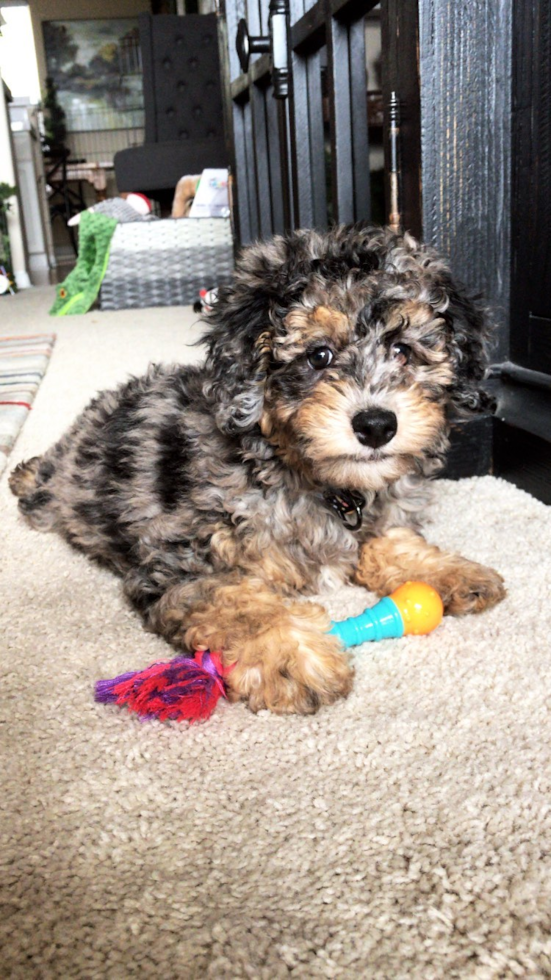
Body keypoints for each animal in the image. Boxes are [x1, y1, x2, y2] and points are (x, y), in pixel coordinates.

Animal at [9, 224, 508, 712]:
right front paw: (292, 658)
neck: (310, 476)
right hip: (63, 491)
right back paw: (24, 473)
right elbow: (239, 602)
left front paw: (449, 571)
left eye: (403, 350)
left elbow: (391, 539)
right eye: (319, 355)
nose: (376, 425)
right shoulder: (179, 562)